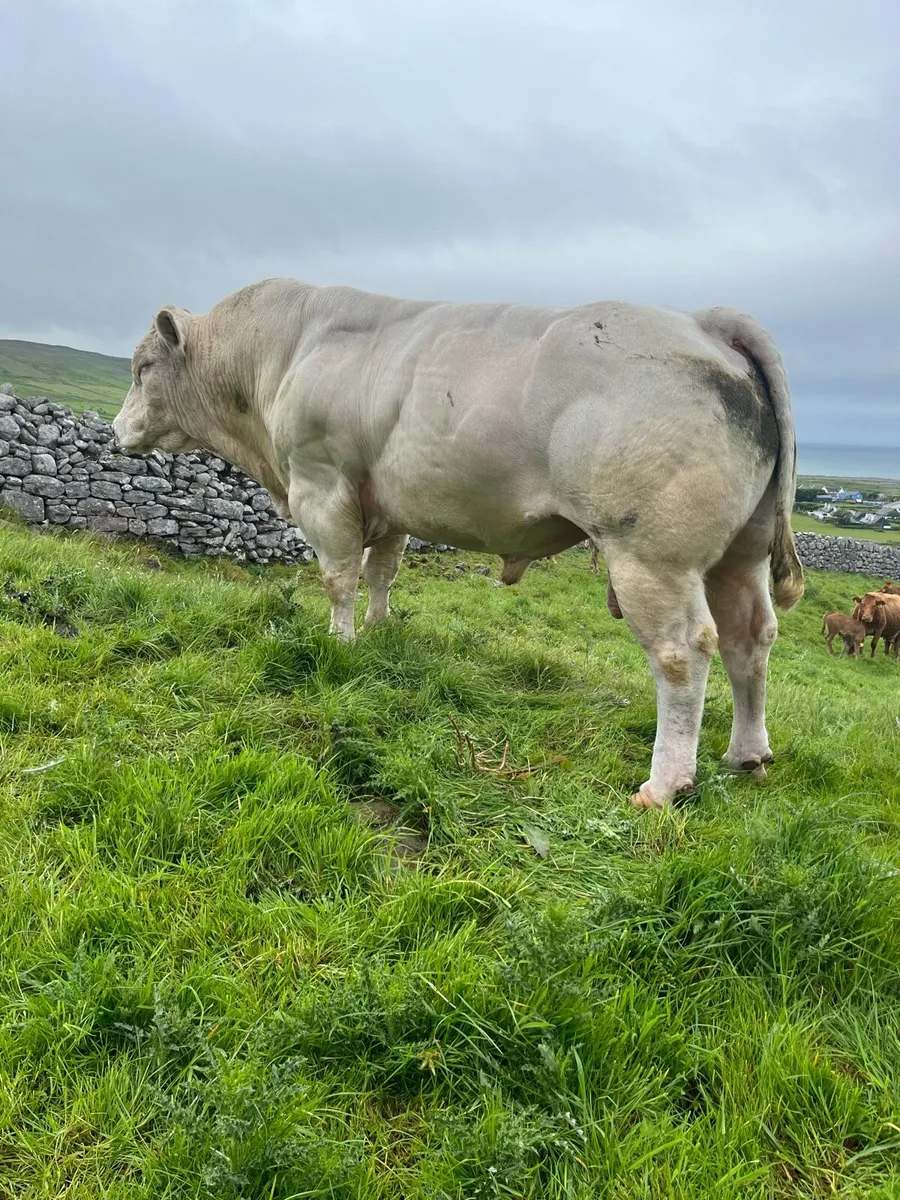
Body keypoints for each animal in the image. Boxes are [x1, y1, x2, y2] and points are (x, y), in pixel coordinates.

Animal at [113, 279, 804, 809]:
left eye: (143, 368)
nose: (118, 430)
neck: (281, 354)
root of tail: (705, 322)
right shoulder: (389, 502)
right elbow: (382, 572)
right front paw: (378, 631)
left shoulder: (322, 483)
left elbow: (338, 575)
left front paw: (339, 643)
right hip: (741, 553)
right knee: (750, 638)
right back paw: (746, 752)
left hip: (653, 555)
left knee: (683, 650)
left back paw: (664, 784)